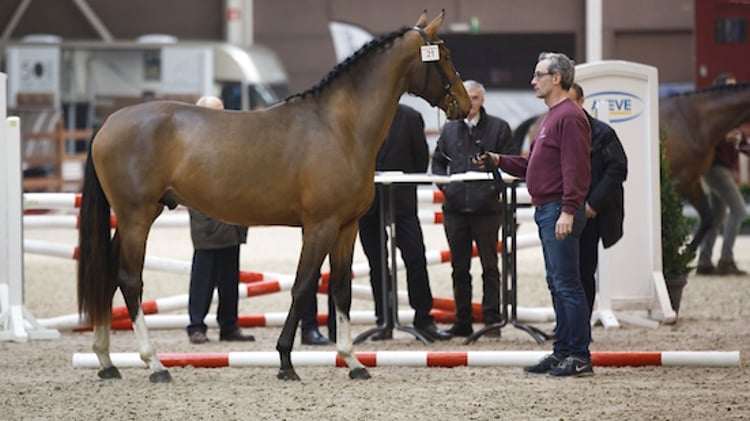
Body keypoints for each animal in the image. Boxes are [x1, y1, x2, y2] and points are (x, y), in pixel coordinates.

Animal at [79, 9, 472, 382]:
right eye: (445, 54)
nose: (466, 105)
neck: (339, 128)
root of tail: (108, 123)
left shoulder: (346, 228)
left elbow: (341, 290)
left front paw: (352, 361)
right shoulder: (320, 227)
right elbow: (302, 287)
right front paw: (285, 361)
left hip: (132, 218)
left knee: (108, 275)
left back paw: (106, 361)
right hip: (137, 217)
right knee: (129, 280)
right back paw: (155, 364)